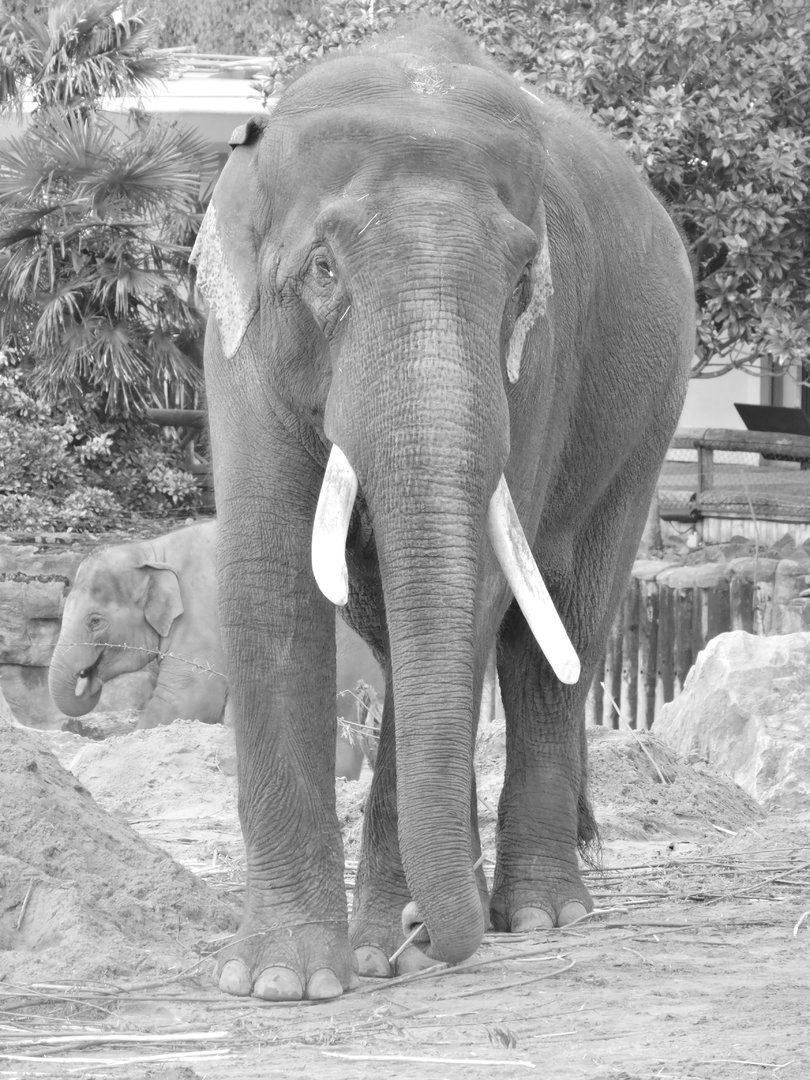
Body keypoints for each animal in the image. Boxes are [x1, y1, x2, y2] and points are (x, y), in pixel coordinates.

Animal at [190, 20, 694, 1001]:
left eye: (522, 283)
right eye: (322, 269)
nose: (421, 932)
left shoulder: (542, 362)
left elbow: (485, 592)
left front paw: (382, 951)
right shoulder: (238, 349)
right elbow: (269, 575)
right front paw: (281, 982)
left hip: (645, 425)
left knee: (558, 632)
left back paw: (539, 913)